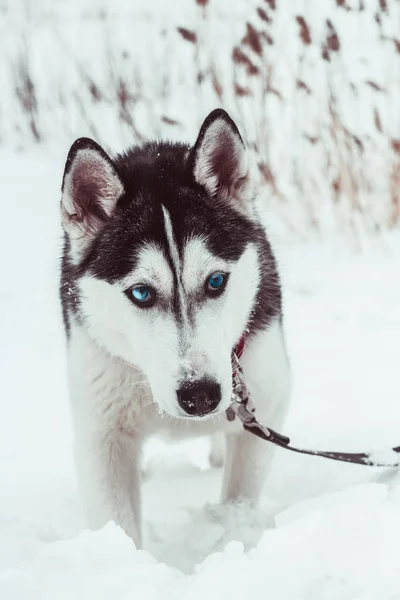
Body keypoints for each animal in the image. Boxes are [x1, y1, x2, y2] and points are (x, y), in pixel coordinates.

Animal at [60, 109, 290, 548]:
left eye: (216, 281)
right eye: (141, 293)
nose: (200, 395)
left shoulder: (265, 403)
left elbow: (238, 496)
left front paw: (230, 534)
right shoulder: (102, 432)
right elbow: (117, 524)